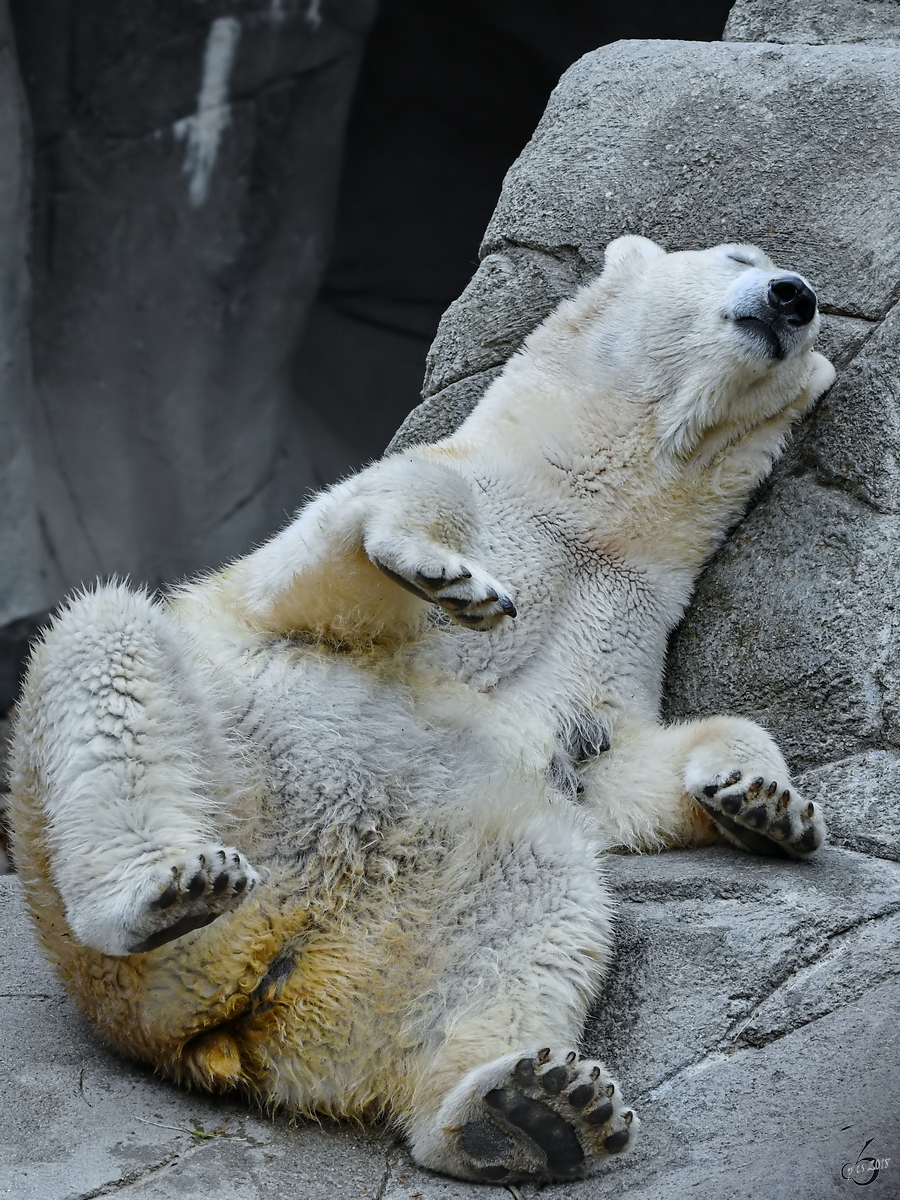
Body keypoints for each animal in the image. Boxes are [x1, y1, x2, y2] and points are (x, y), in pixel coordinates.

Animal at [7, 234, 840, 1180]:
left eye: (814, 314)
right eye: (738, 254)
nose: (794, 294)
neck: (588, 516)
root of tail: (242, 997)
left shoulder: (620, 628)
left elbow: (607, 771)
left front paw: (766, 804)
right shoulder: (462, 515)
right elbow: (327, 572)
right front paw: (443, 569)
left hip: (420, 899)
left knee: (548, 903)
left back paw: (528, 1109)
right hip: (199, 781)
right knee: (108, 645)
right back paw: (167, 888)